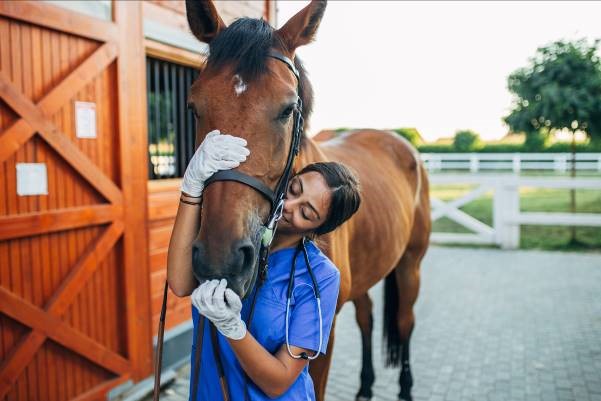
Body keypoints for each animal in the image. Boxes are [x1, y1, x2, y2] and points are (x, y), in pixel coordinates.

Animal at [185, 1, 428, 398]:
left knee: (405, 321)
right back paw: (365, 385)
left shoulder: (321, 343)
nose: (221, 258)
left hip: (411, 265)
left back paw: (406, 387)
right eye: (194, 106)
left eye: (287, 109)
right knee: (366, 316)